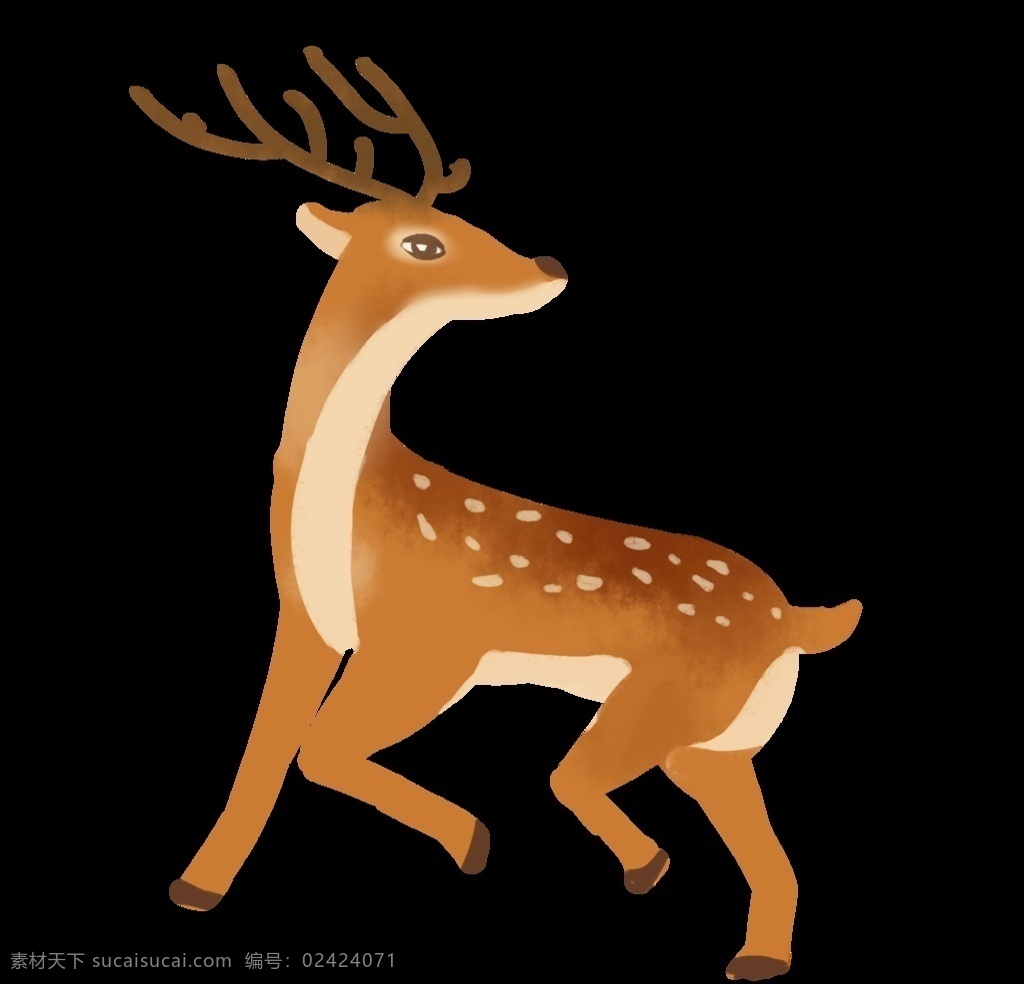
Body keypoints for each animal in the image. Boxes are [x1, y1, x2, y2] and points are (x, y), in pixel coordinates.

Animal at [129, 46, 862, 982]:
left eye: (460, 217)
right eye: (424, 240)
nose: (548, 262)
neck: (355, 515)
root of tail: (801, 620)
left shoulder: (433, 644)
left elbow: (316, 750)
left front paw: (471, 841)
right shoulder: (309, 622)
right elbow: (267, 751)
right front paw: (196, 888)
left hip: (670, 709)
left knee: (575, 778)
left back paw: (648, 866)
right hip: (719, 739)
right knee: (769, 850)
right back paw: (751, 952)